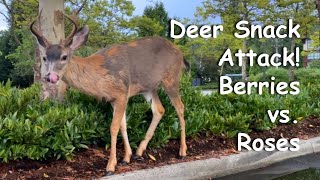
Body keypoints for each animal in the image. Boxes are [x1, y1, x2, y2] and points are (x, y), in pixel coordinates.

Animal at [30, 11, 188, 174]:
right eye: (44, 58)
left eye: (64, 57)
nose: (50, 77)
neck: (99, 73)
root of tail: (180, 54)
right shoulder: (114, 98)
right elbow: (123, 125)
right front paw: (126, 157)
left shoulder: (121, 92)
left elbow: (113, 127)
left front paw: (111, 165)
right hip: (149, 87)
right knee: (159, 109)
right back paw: (139, 151)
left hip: (171, 79)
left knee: (180, 107)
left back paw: (182, 151)